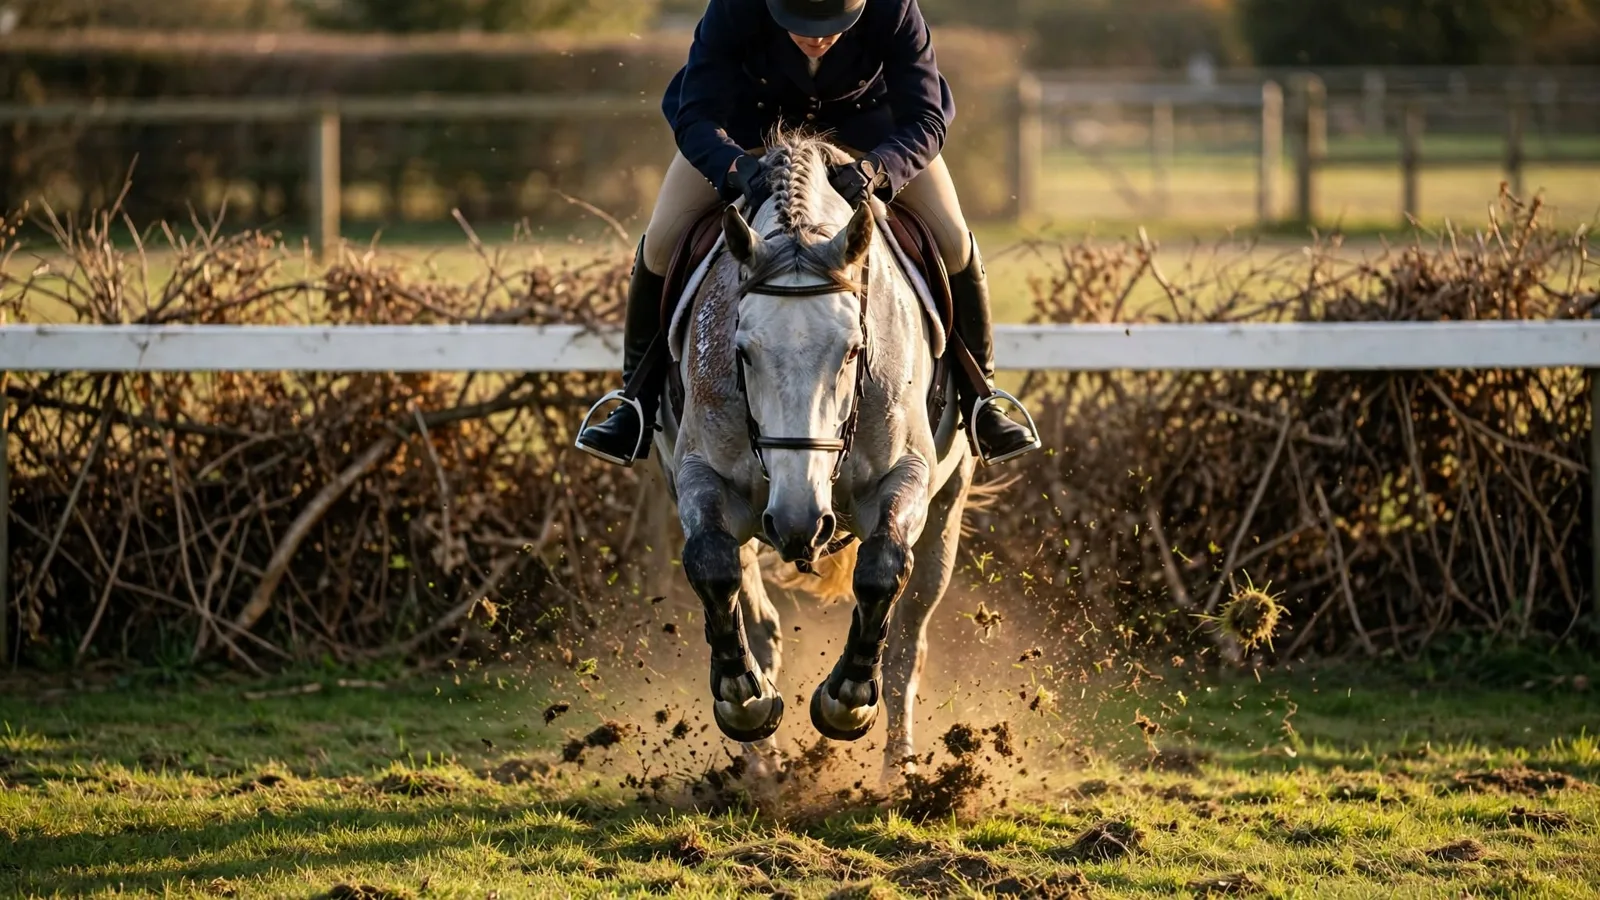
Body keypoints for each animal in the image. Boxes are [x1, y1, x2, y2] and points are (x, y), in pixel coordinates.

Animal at [652, 131, 976, 778]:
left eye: (853, 350)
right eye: (742, 351)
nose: (799, 520)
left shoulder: (908, 475)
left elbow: (882, 570)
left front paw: (846, 703)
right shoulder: (701, 475)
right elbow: (712, 565)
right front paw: (744, 701)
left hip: (947, 507)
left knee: (908, 640)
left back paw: (898, 769)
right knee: (760, 620)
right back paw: (763, 768)